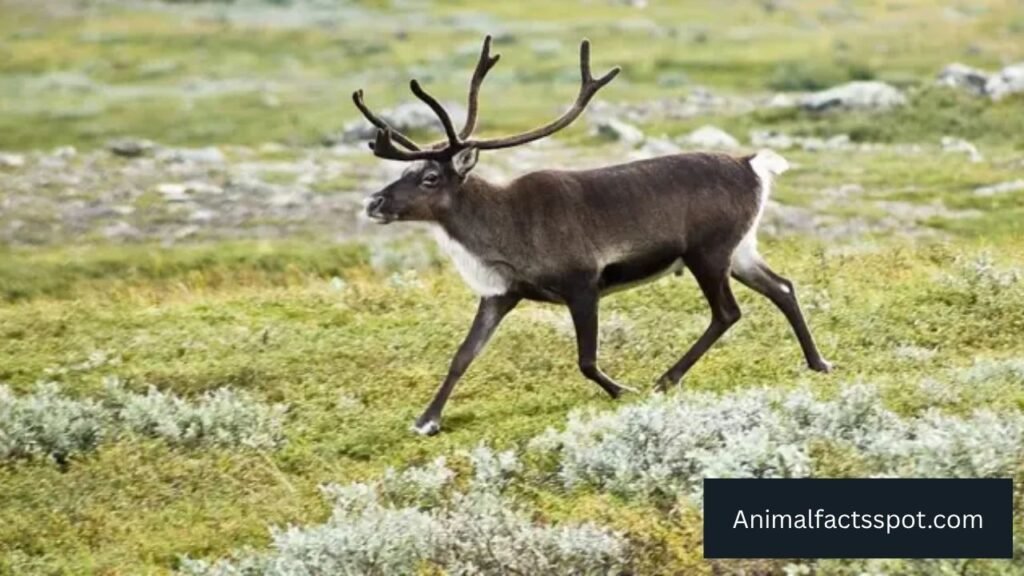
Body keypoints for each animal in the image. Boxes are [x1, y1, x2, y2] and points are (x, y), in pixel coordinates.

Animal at [354, 36, 832, 436]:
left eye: (430, 177)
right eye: (407, 171)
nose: (374, 203)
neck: (501, 227)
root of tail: (752, 164)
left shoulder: (582, 283)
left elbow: (585, 360)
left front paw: (623, 391)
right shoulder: (502, 293)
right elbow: (462, 355)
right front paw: (426, 420)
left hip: (708, 251)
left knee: (727, 312)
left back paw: (666, 378)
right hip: (740, 250)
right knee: (782, 287)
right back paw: (818, 362)